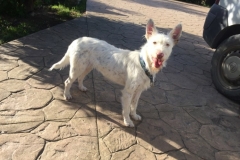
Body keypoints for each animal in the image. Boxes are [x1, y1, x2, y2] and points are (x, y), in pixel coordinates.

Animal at [50, 19, 182, 127]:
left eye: (167, 45)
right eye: (154, 43)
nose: (160, 54)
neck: (143, 64)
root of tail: (76, 40)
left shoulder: (138, 91)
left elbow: (134, 105)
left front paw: (134, 116)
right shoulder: (128, 92)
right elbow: (127, 108)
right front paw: (127, 121)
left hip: (87, 67)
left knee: (80, 78)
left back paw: (81, 87)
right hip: (77, 68)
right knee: (68, 81)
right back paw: (67, 95)